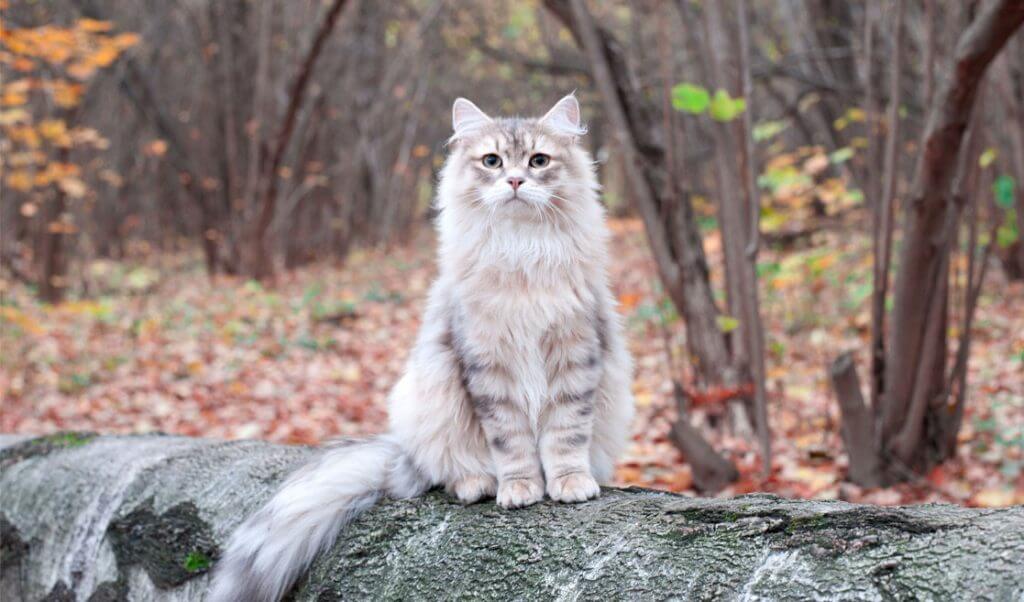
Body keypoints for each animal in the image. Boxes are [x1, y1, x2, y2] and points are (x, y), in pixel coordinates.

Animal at [209, 94, 630, 602]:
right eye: (492, 161)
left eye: (538, 161)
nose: (514, 181)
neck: (521, 252)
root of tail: (401, 458)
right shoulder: (486, 364)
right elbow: (512, 443)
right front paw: (521, 488)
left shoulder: (576, 352)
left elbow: (565, 434)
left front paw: (569, 483)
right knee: (448, 471)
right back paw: (477, 484)